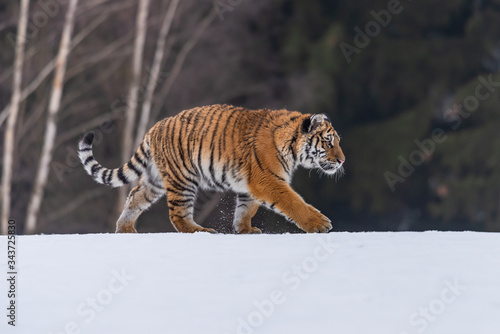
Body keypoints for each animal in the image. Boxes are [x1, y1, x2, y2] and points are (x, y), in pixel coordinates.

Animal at [78, 103, 346, 232]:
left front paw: (245, 230)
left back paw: (125, 229)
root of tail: (155, 127)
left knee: (135, 197)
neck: (290, 146)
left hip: (155, 180)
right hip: (182, 180)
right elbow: (294, 203)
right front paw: (319, 224)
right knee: (177, 214)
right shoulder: (268, 180)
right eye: (329, 142)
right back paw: (201, 231)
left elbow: (246, 209)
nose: (342, 160)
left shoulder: (251, 185)